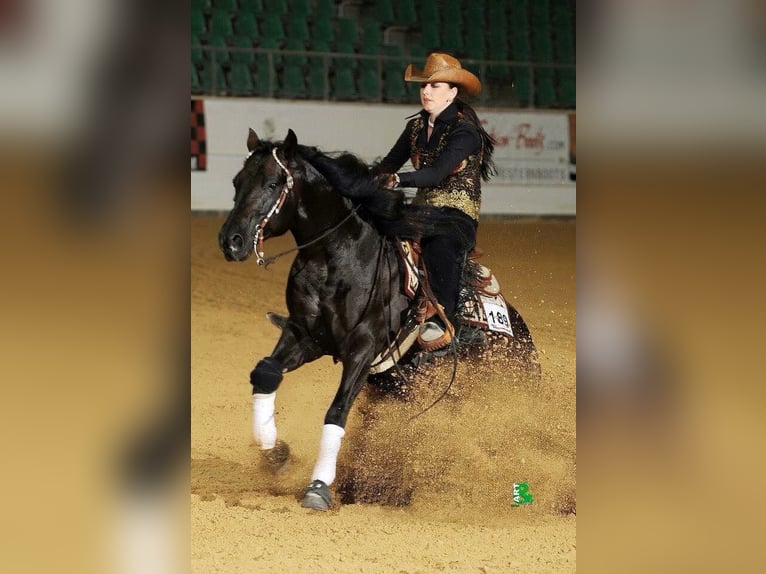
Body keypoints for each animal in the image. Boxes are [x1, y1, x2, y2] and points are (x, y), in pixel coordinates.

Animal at [218, 128, 538, 511]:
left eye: (272, 183)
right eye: (237, 181)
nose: (230, 241)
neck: (336, 258)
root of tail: (521, 333)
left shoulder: (363, 347)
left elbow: (337, 411)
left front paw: (318, 488)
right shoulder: (304, 337)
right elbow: (265, 373)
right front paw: (276, 455)